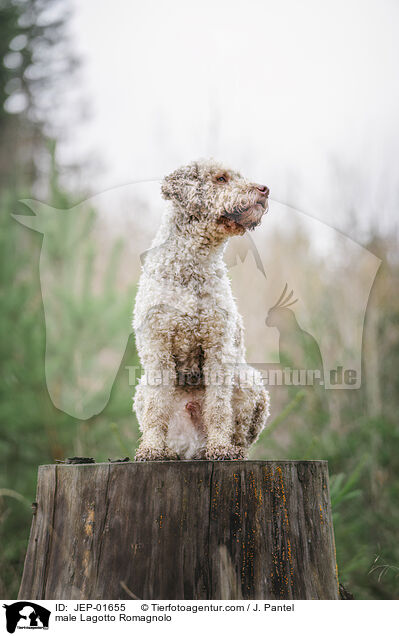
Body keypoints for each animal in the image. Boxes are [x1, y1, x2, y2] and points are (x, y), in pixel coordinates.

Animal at [134, 157, 272, 460]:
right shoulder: (157, 346)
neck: (192, 266)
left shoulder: (217, 347)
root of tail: (191, 449)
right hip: (139, 390)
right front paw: (151, 449)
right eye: (221, 178)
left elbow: (219, 407)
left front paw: (219, 447)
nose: (264, 188)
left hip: (249, 380)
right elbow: (156, 409)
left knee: (240, 431)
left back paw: (231, 449)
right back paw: (168, 451)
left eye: (239, 176)